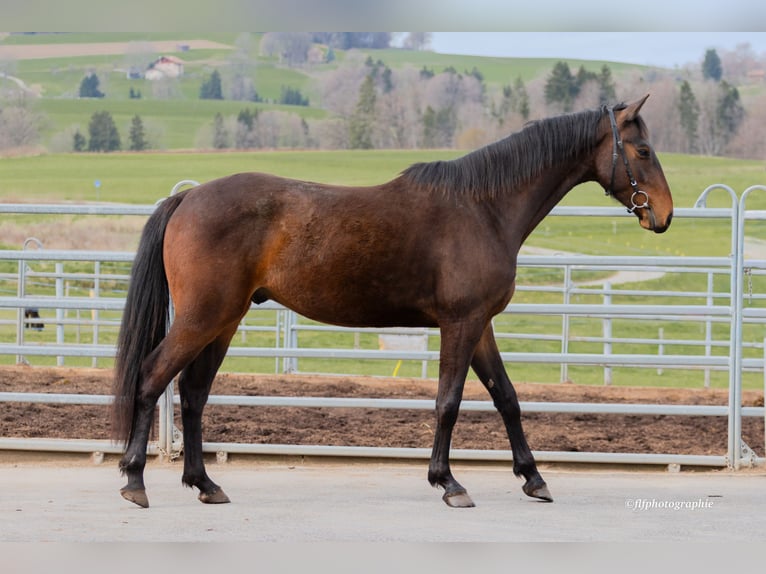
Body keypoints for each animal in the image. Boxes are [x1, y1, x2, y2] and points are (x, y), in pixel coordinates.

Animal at [111, 95, 673, 509]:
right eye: (643, 150)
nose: (664, 215)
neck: (483, 209)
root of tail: (189, 196)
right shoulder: (461, 323)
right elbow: (449, 401)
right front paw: (448, 482)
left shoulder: (481, 326)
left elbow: (506, 397)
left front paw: (533, 478)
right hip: (202, 317)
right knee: (152, 377)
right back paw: (135, 481)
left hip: (223, 321)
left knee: (192, 392)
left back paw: (205, 484)